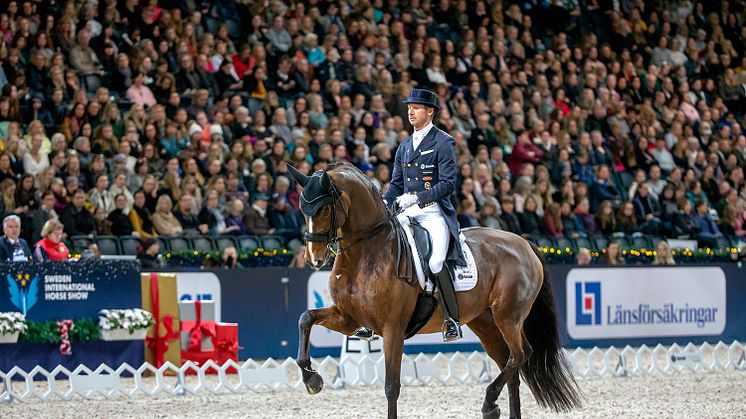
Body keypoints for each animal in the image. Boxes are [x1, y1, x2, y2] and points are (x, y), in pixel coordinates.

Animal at [288, 162, 580, 418]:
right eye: (302, 208)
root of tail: (523, 243)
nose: (313, 259)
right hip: (486, 323)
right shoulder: (349, 319)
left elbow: (391, 387)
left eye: (325, 209)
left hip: (508, 317)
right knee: (511, 366)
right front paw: (312, 379)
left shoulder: (393, 328)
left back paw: (488, 403)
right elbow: (305, 318)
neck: (367, 251)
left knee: (521, 354)